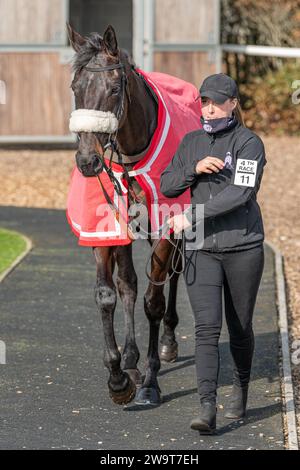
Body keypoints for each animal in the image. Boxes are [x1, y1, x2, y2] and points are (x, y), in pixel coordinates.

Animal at [67, 22, 189, 406]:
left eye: (114, 88)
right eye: (75, 88)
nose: (87, 161)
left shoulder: (168, 226)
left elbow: (154, 300)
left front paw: (150, 382)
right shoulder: (107, 226)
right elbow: (111, 293)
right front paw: (119, 375)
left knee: (172, 276)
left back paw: (167, 342)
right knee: (130, 284)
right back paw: (133, 359)